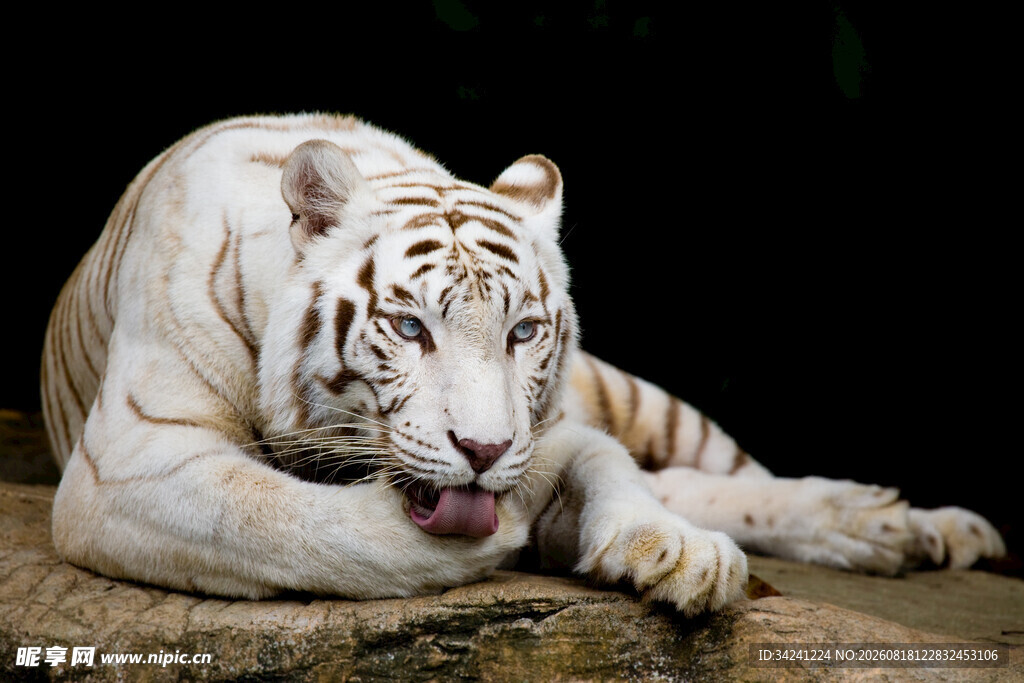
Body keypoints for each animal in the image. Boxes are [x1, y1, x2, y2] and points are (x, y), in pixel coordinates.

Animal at [41, 113, 1005, 615]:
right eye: (410, 326)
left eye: (523, 332)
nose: (484, 450)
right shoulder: (131, 463)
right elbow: (283, 520)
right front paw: (499, 537)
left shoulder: (558, 428)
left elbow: (613, 468)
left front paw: (680, 552)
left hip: (636, 396)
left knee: (724, 474)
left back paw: (907, 525)